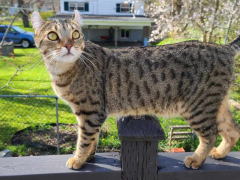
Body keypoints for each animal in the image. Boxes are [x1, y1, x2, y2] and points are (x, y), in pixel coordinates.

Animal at [31, 10, 240, 169]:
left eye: (75, 34)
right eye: (52, 35)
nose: (68, 45)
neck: (64, 70)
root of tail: (224, 48)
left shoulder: (90, 112)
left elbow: (84, 139)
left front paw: (78, 159)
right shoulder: (88, 113)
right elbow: (92, 138)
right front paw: (89, 156)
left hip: (197, 107)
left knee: (211, 134)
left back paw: (196, 159)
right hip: (216, 104)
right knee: (233, 131)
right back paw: (220, 153)